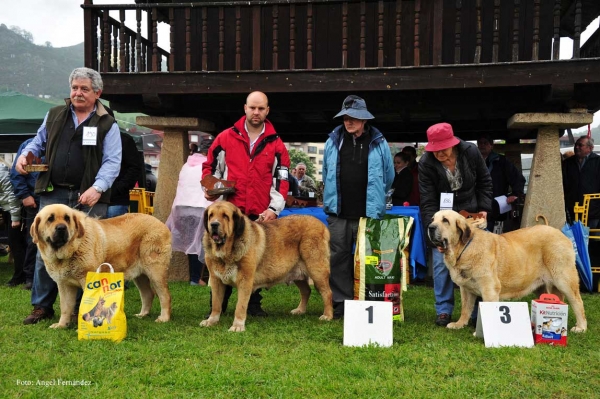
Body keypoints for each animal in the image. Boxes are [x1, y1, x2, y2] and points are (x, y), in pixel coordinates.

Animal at [31, 205, 172, 330]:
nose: (61, 228)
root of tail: (160, 223)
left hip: (155, 271)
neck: (71, 250)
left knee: (164, 295)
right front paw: (61, 325)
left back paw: (164, 318)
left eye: (67, 218)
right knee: (148, 293)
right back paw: (142, 314)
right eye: (50, 219)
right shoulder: (64, 285)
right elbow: (65, 307)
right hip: (140, 275)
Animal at [200, 202, 332, 332]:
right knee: (306, 291)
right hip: (297, 273)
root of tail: (322, 225)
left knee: (327, 292)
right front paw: (211, 321)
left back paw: (327, 316)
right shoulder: (216, 280)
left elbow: (240, 306)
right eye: (211, 215)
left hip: (316, 270)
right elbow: (216, 303)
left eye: (225, 216)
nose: (214, 224)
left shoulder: (245, 281)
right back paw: (300, 310)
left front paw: (237, 326)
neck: (226, 253)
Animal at [426, 211, 584, 332]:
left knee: (577, 302)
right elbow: (466, 308)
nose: (430, 227)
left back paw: (581, 327)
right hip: (543, 287)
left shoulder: (489, 289)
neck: (464, 248)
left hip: (564, 279)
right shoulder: (466, 289)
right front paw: (459, 324)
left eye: (445, 220)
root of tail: (560, 233)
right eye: (433, 219)